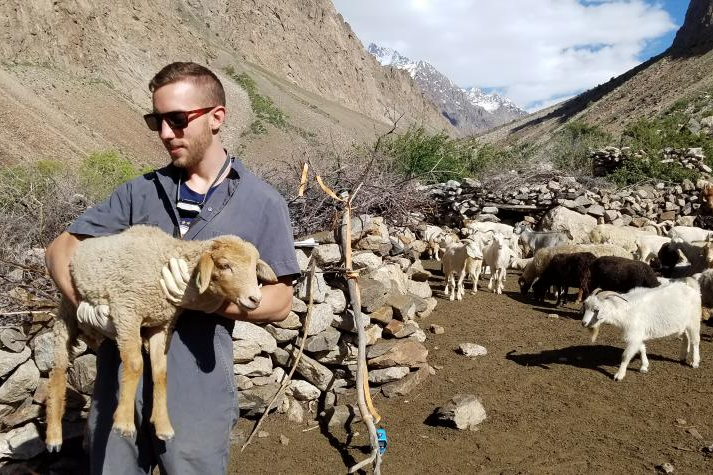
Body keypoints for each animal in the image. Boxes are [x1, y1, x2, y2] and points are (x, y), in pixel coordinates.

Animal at [46, 225, 276, 452]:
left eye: (254, 268)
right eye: (225, 265)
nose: (255, 299)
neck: (165, 257)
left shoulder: (161, 325)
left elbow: (160, 373)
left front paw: (163, 425)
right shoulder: (126, 310)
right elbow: (135, 364)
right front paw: (124, 423)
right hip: (67, 313)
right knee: (58, 372)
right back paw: (54, 437)